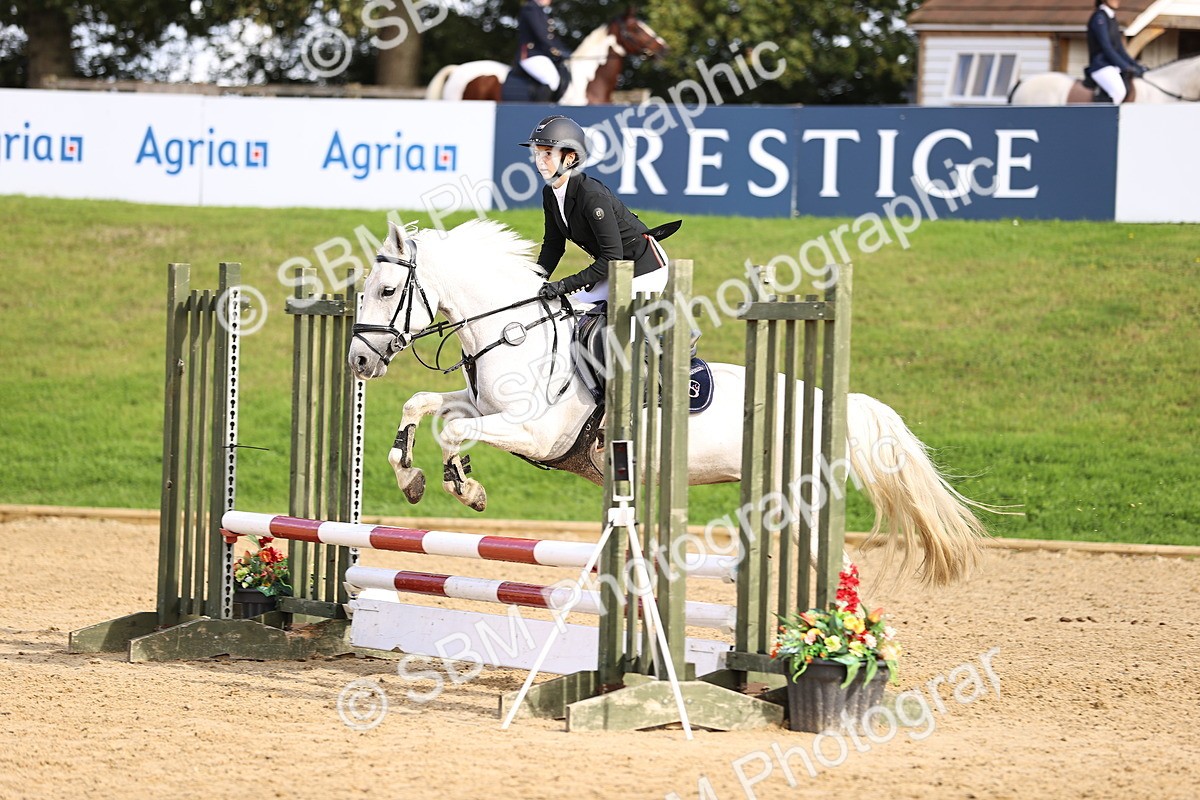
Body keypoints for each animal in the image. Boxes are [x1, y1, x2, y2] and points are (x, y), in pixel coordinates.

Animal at [347, 219, 992, 586]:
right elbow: (425, 406)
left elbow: (454, 432)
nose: (358, 361)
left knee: (835, 566)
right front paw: (413, 478)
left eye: (386, 290)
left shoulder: (538, 434)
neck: (513, 332)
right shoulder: (487, 409)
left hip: (801, 500)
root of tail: (832, 404)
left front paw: (465, 487)